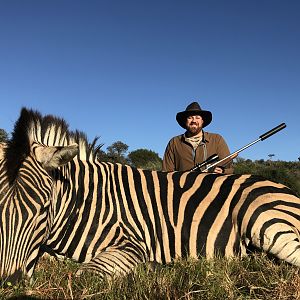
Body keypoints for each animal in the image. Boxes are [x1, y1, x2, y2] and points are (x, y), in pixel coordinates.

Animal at [0, 108, 300, 284]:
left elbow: (82, 275)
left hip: (266, 223)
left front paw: (152, 268)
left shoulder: (132, 244)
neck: (84, 201)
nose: (10, 284)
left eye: (43, 209)